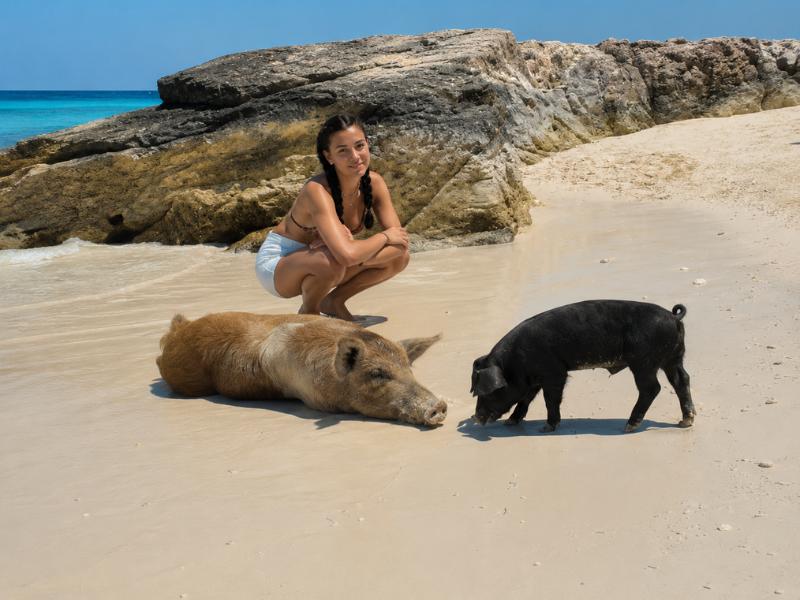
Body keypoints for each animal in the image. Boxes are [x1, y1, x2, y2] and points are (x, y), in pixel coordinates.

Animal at [471, 300, 695, 433]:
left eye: (488, 392)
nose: (477, 418)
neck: (515, 364)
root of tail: (673, 316)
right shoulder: (534, 379)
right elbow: (525, 399)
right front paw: (510, 422)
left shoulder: (554, 372)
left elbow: (550, 399)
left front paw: (546, 427)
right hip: (673, 358)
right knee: (682, 380)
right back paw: (685, 421)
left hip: (643, 362)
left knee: (651, 388)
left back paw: (629, 426)